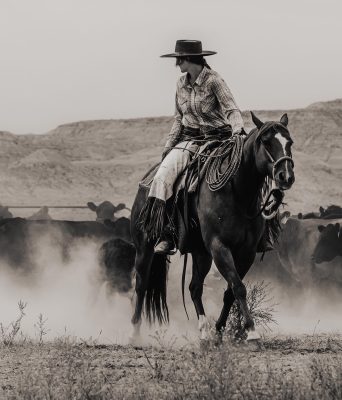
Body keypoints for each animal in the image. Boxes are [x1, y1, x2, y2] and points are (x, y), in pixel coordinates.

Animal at [128, 111, 294, 340]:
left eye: (290, 142)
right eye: (266, 141)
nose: (286, 176)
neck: (238, 193)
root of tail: (148, 181)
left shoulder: (247, 252)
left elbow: (231, 291)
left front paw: (219, 329)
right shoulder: (219, 246)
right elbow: (238, 287)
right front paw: (251, 330)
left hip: (201, 253)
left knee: (194, 287)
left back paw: (205, 331)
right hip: (145, 247)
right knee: (141, 285)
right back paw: (135, 333)